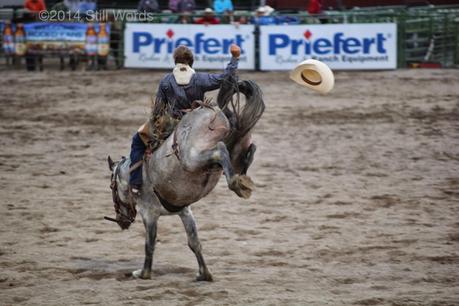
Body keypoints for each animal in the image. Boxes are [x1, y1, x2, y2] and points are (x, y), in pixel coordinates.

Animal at [106, 75, 264, 280]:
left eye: (112, 188)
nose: (121, 221)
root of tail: (213, 110)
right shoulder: (185, 211)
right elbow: (194, 242)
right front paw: (204, 274)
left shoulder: (148, 214)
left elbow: (150, 245)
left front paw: (143, 273)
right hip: (238, 145)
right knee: (248, 150)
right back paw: (243, 179)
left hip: (193, 158)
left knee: (220, 150)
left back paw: (237, 184)